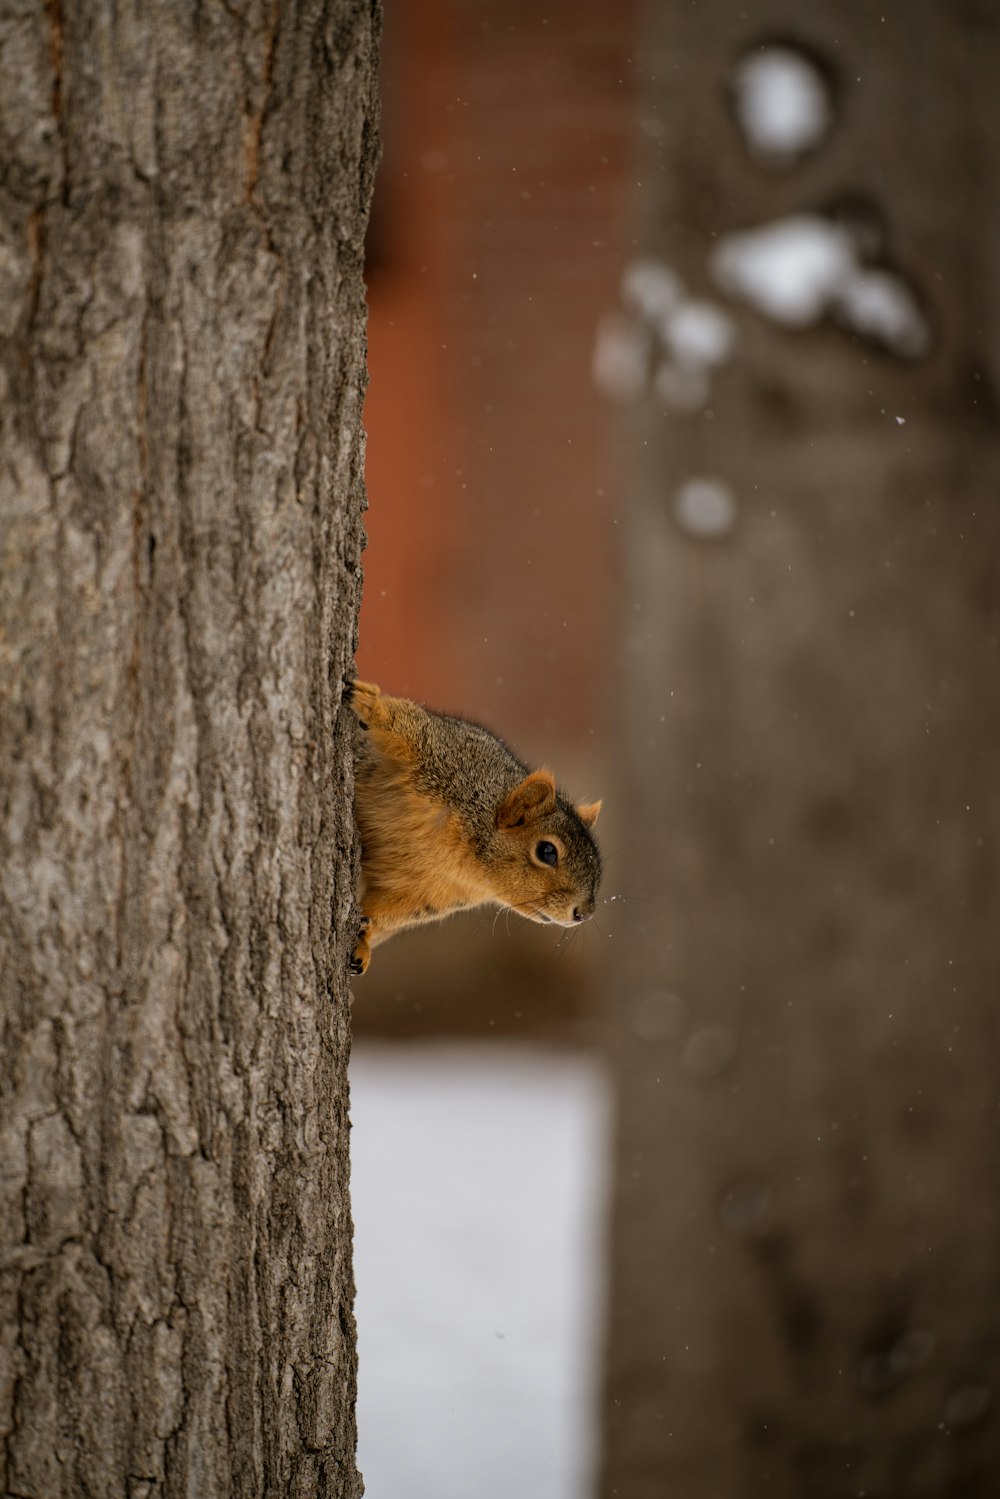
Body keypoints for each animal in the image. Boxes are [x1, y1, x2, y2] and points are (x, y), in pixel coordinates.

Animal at [350, 677, 602, 971]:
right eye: (547, 852)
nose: (584, 913)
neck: (467, 862)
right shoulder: (445, 757)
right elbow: (407, 725)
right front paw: (369, 702)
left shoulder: (426, 897)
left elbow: (387, 912)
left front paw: (364, 939)